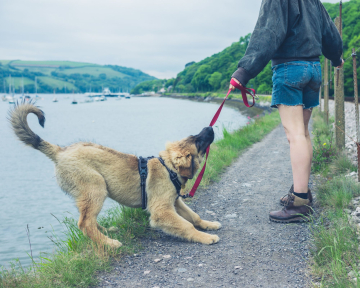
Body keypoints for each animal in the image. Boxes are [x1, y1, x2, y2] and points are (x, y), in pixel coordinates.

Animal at [8, 102, 221, 248]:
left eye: (194, 136)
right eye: (198, 141)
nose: (210, 127)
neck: (168, 168)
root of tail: (60, 152)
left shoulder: (175, 202)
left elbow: (194, 217)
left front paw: (208, 225)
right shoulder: (162, 210)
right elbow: (186, 225)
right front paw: (205, 237)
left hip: (90, 193)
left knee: (89, 220)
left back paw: (107, 232)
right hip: (95, 188)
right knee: (84, 223)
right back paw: (109, 243)